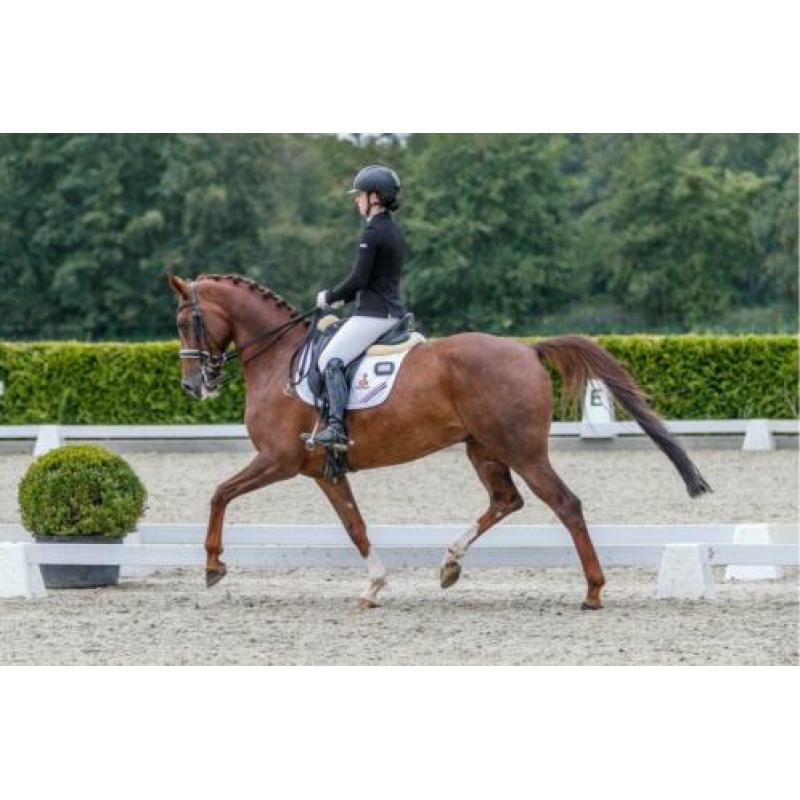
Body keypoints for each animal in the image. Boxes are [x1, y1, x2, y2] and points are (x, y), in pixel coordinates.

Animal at [168, 272, 711, 609]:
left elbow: (219, 493)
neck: (280, 357)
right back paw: (450, 564)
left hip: (522, 450)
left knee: (566, 504)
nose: (194, 386)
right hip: (483, 448)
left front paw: (213, 565)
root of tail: (526, 351)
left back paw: (593, 591)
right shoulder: (323, 471)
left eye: (183, 321)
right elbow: (355, 525)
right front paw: (374, 587)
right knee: (506, 500)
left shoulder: (277, 459)